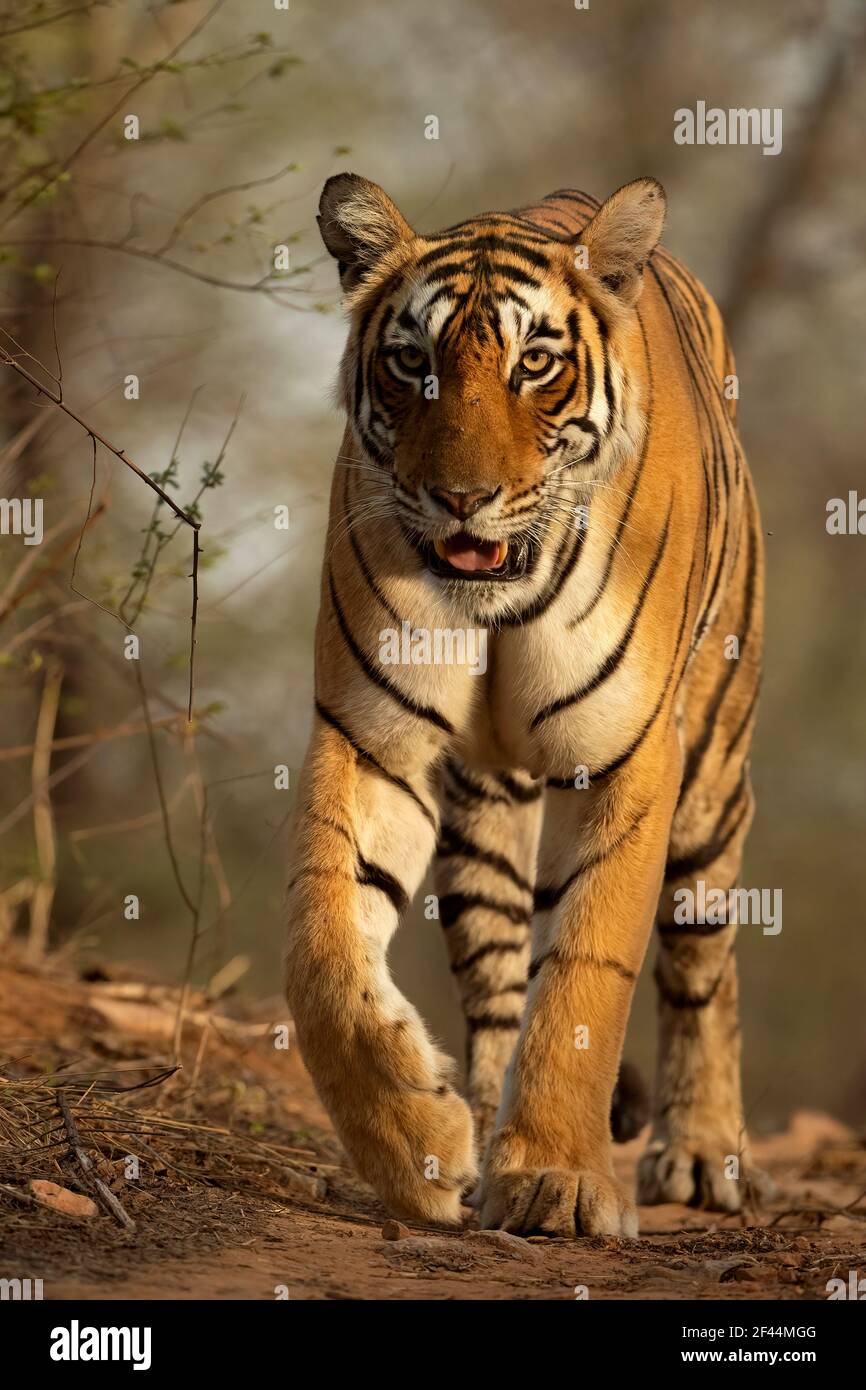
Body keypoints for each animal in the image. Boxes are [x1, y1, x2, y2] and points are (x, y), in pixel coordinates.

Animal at [284, 173, 767, 1239]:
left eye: (534, 364)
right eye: (411, 363)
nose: (461, 498)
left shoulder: (631, 760)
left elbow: (590, 975)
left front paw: (557, 1180)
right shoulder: (375, 740)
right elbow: (325, 947)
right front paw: (416, 1139)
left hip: (713, 776)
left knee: (704, 966)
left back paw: (704, 1153)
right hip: (484, 819)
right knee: (502, 979)